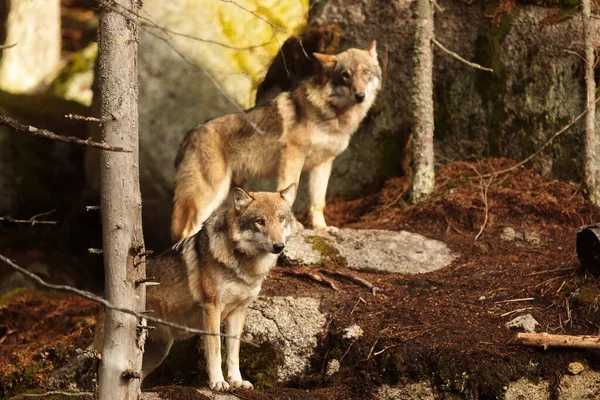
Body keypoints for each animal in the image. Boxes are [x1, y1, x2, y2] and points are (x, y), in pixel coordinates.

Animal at [94, 184, 298, 390]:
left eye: (281, 219)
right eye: (260, 221)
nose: (279, 246)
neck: (244, 266)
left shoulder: (239, 311)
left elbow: (234, 354)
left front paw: (237, 381)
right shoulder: (212, 308)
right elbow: (215, 350)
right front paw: (218, 382)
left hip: (156, 355)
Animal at [171, 42, 382, 245]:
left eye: (365, 72)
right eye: (346, 75)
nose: (360, 95)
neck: (334, 114)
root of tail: (191, 133)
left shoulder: (323, 163)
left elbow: (318, 202)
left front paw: (322, 228)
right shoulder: (293, 154)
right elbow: (290, 192)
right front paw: (295, 224)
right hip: (209, 195)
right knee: (187, 230)